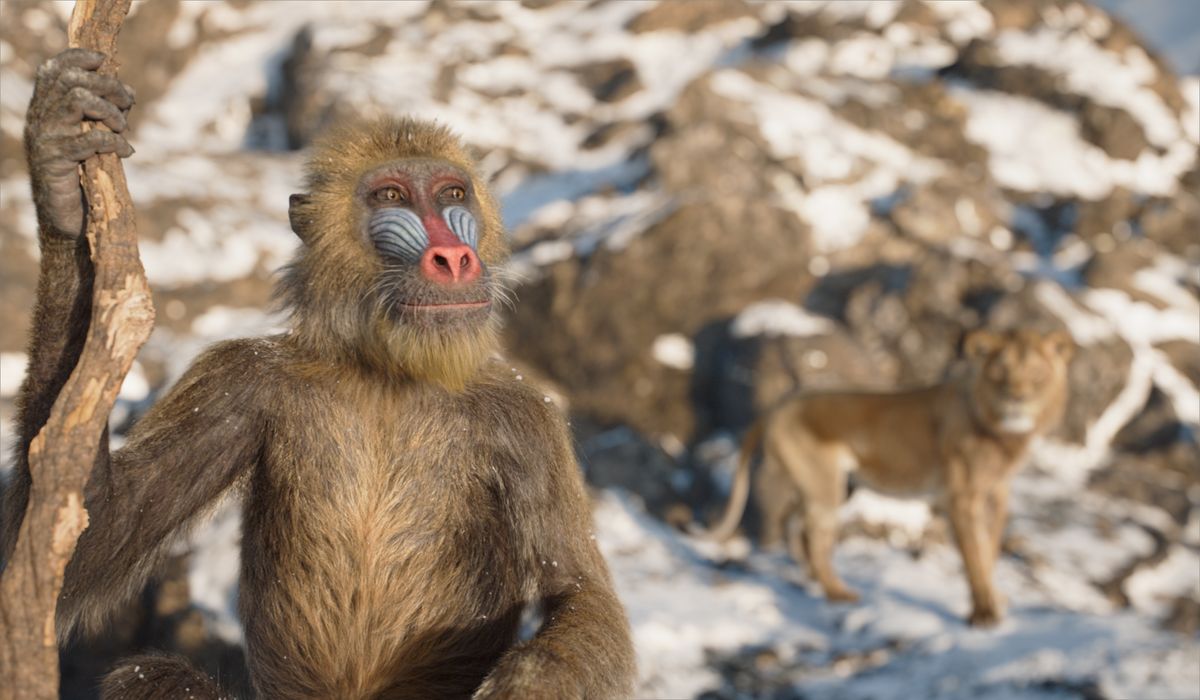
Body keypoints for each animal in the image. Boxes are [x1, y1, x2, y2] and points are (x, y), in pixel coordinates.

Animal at [699, 328, 1074, 626]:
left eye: (1037, 374)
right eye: (999, 372)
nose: (1017, 398)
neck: (1004, 434)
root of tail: (780, 404)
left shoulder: (997, 493)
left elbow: (989, 550)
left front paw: (995, 599)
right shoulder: (960, 498)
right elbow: (973, 556)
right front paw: (983, 614)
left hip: (828, 486)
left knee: (797, 530)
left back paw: (815, 582)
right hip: (825, 486)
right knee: (814, 538)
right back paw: (840, 593)